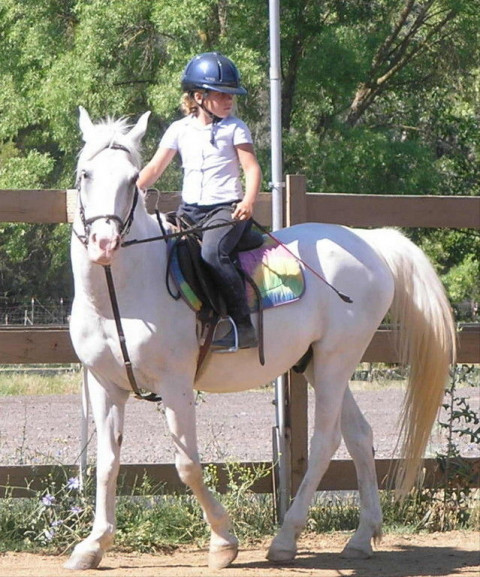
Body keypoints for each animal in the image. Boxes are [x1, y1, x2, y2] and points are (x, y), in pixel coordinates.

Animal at [65, 107, 456, 568]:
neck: (122, 294)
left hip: (336, 360)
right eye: (85, 174)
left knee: (326, 442)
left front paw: (223, 541)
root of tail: (369, 242)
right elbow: (108, 463)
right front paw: (92, 546)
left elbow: (187, 465)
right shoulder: (105, 385)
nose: (104, 243)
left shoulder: (176, 386)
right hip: (317, 363)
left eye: (131, 179)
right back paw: (361, 538)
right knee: (360, 435)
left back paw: (286, 539)